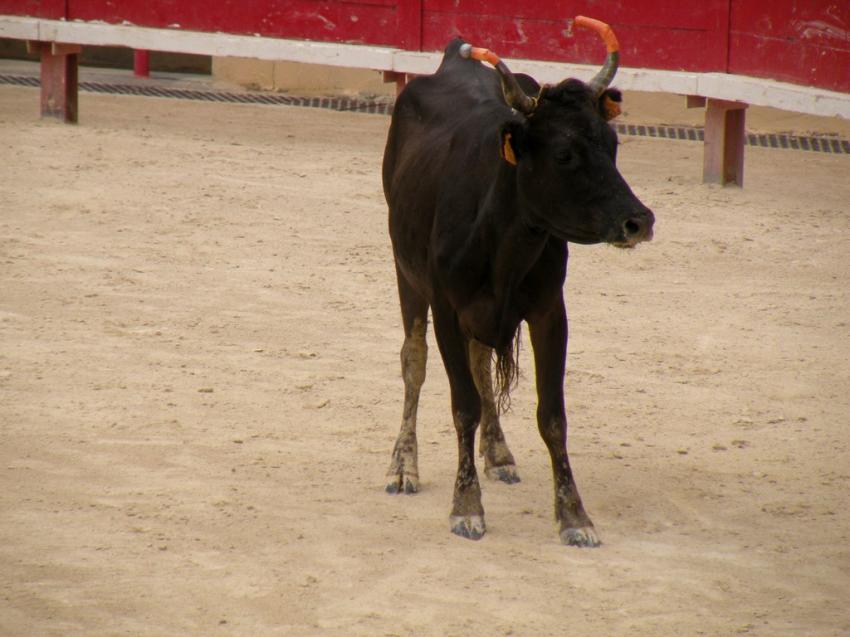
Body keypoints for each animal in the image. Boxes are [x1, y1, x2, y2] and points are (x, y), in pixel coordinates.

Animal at [380, 37, 652, 544]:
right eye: (564, 155)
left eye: (611, 145)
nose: (639, 221)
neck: (502, 237)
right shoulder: (447, 310)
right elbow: (463, 404)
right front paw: (466, 507)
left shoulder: (549, 313)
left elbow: (552, 415)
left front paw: (574, 515)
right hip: (406, 275)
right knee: (414, 361)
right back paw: (403, 466)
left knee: (480, 362)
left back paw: (498, 453)